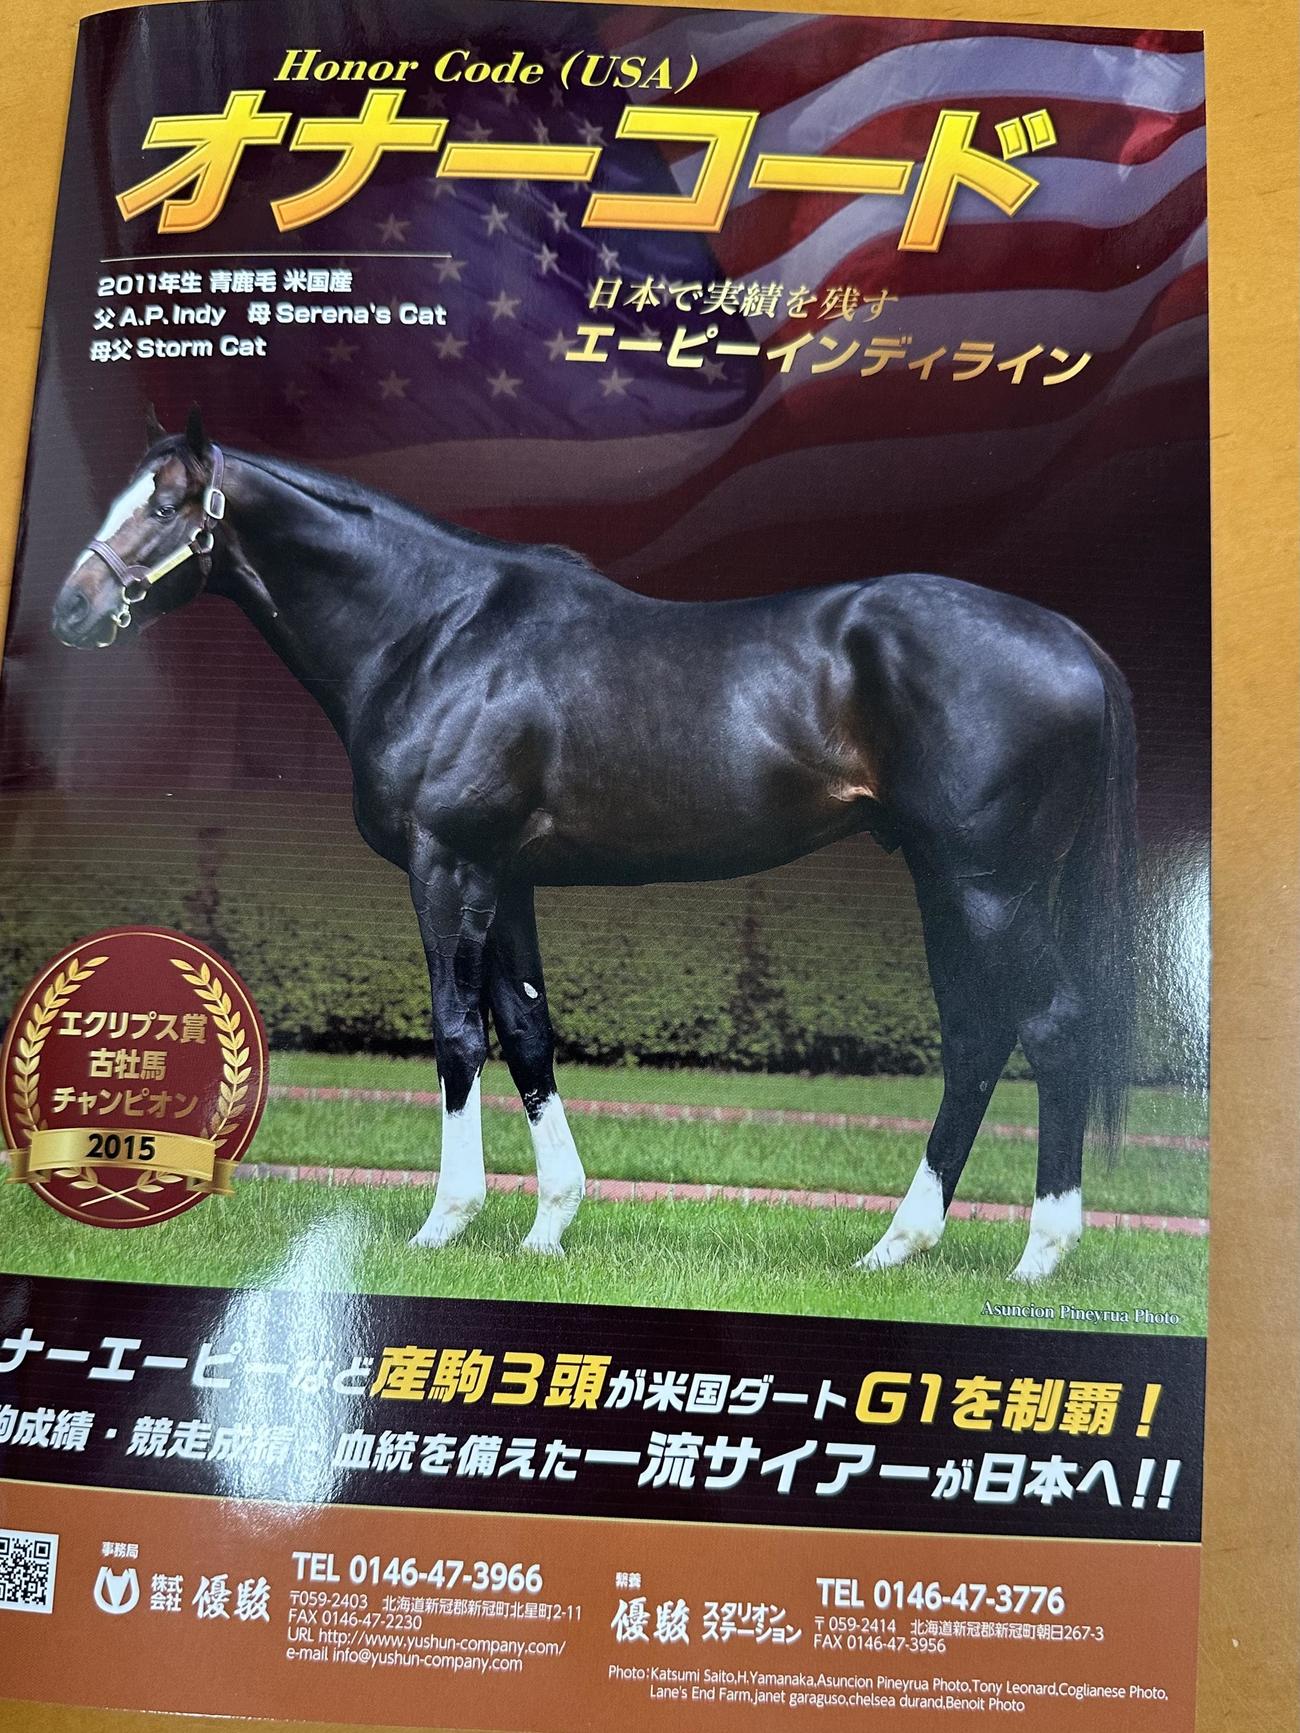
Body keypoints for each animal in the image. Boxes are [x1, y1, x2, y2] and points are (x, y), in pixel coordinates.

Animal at [50, 409, 1137, 1282]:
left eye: (167, 506)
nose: (69, 608)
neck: (435, 631)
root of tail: (1077, 642)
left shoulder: (449, 866)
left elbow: (456, 1032)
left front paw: (445, 1223)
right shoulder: (509, 879)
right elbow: (528, 1030)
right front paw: (548, 1227)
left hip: (986, 884)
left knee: (1050, 1026)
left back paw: (1040, 1255)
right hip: (943, 881)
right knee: (975, 1039)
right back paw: (896, 1245)